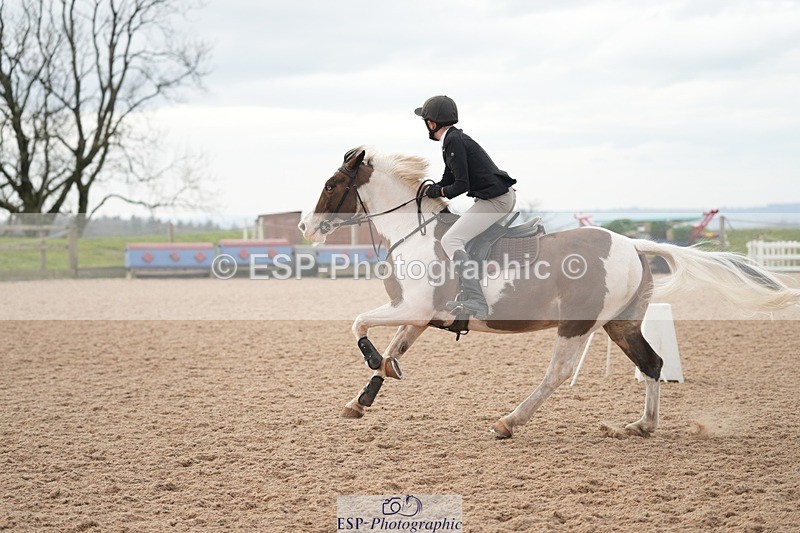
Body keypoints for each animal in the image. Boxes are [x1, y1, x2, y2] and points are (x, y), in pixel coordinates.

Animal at [298, 148, 800, 439]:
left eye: (331, 185)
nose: (304, 227)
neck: (413, 232)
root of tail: (634, 244)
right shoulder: (419, 317)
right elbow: (392, 352)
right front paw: (361, 401)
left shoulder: (412, 307)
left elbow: (360, 325)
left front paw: (370, 367)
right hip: (620, 324)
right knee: (653, 364)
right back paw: (642, 425)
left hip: (576, 324)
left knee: (557, 374)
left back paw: (509, 421)